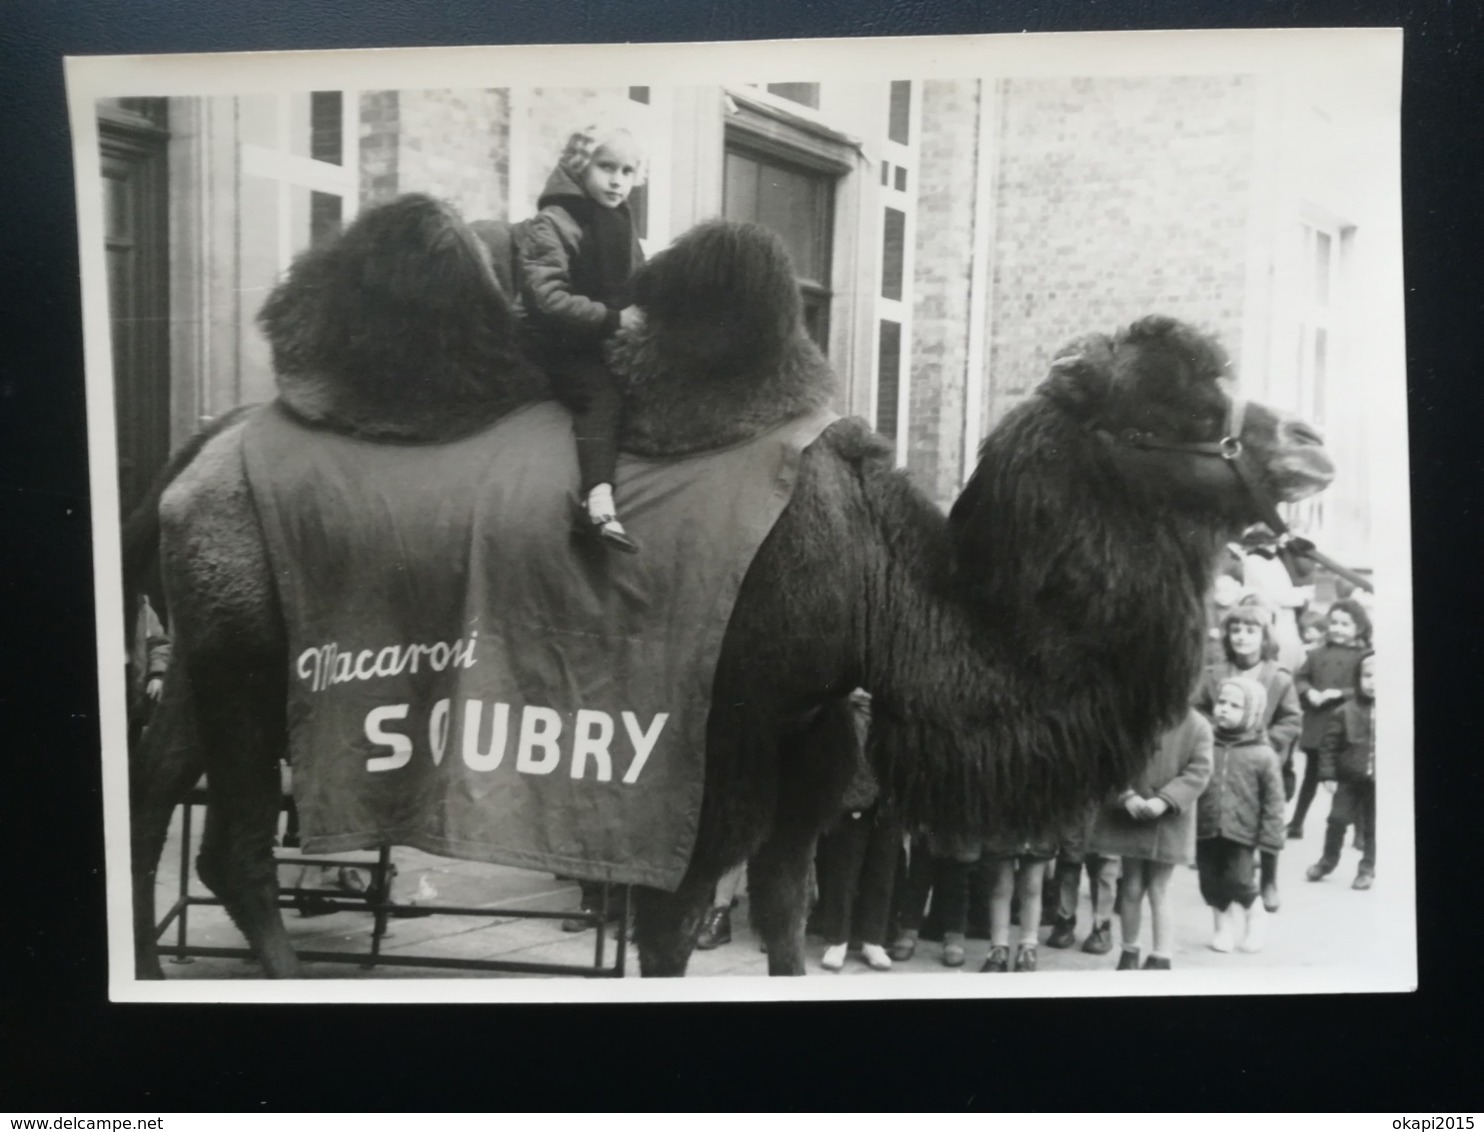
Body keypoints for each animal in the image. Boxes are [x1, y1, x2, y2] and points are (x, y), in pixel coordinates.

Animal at [124, 192, 1335, 973]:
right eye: (1180, 406)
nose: (1313, 445)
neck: (874, 574)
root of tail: (201, 452)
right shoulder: (725, 730)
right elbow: (675, 921)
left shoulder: (813, 730)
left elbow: (789, 910)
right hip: (249, 660)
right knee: (232, 843)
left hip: (199, 651)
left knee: (153, 792)